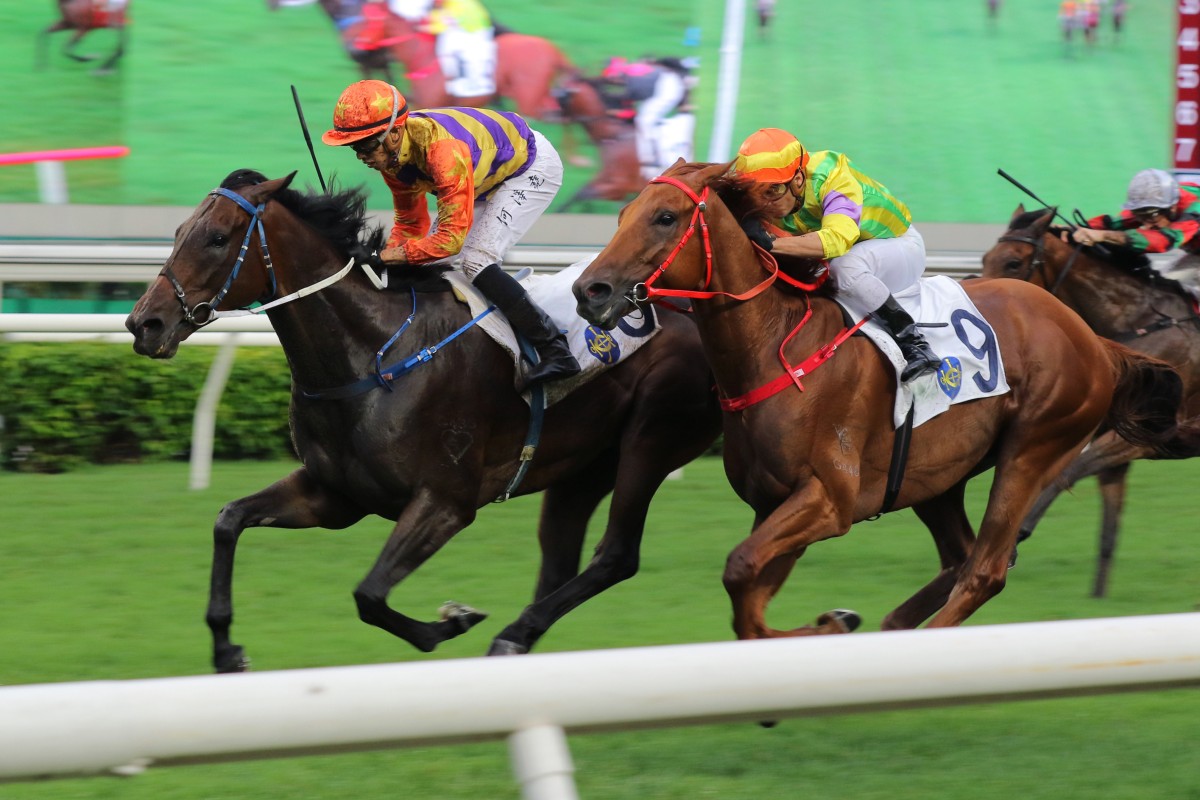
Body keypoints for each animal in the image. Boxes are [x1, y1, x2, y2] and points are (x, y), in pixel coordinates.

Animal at [123, 169, 720, 671]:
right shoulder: (334, 495)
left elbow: (368, 594)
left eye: (217, 238)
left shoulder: (446, 502)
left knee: (616, 555)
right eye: (179, 230)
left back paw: (510, 634)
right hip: (583, 465)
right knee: (560, 560)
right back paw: (518, 640)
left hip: (651, 439)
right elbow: (228, 519)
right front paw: (226, 649)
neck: (372, 356)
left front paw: (450, 622)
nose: (144, 324)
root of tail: (688, 305)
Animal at [979, 205, 1200, 594]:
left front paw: (1016, 537)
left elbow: (1066, 472)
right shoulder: (1113, 439)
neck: (1139, 323)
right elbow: (1108, 528)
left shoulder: (1145, 439)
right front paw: (1098, 596)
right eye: (986, 257)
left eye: (1013, 263)